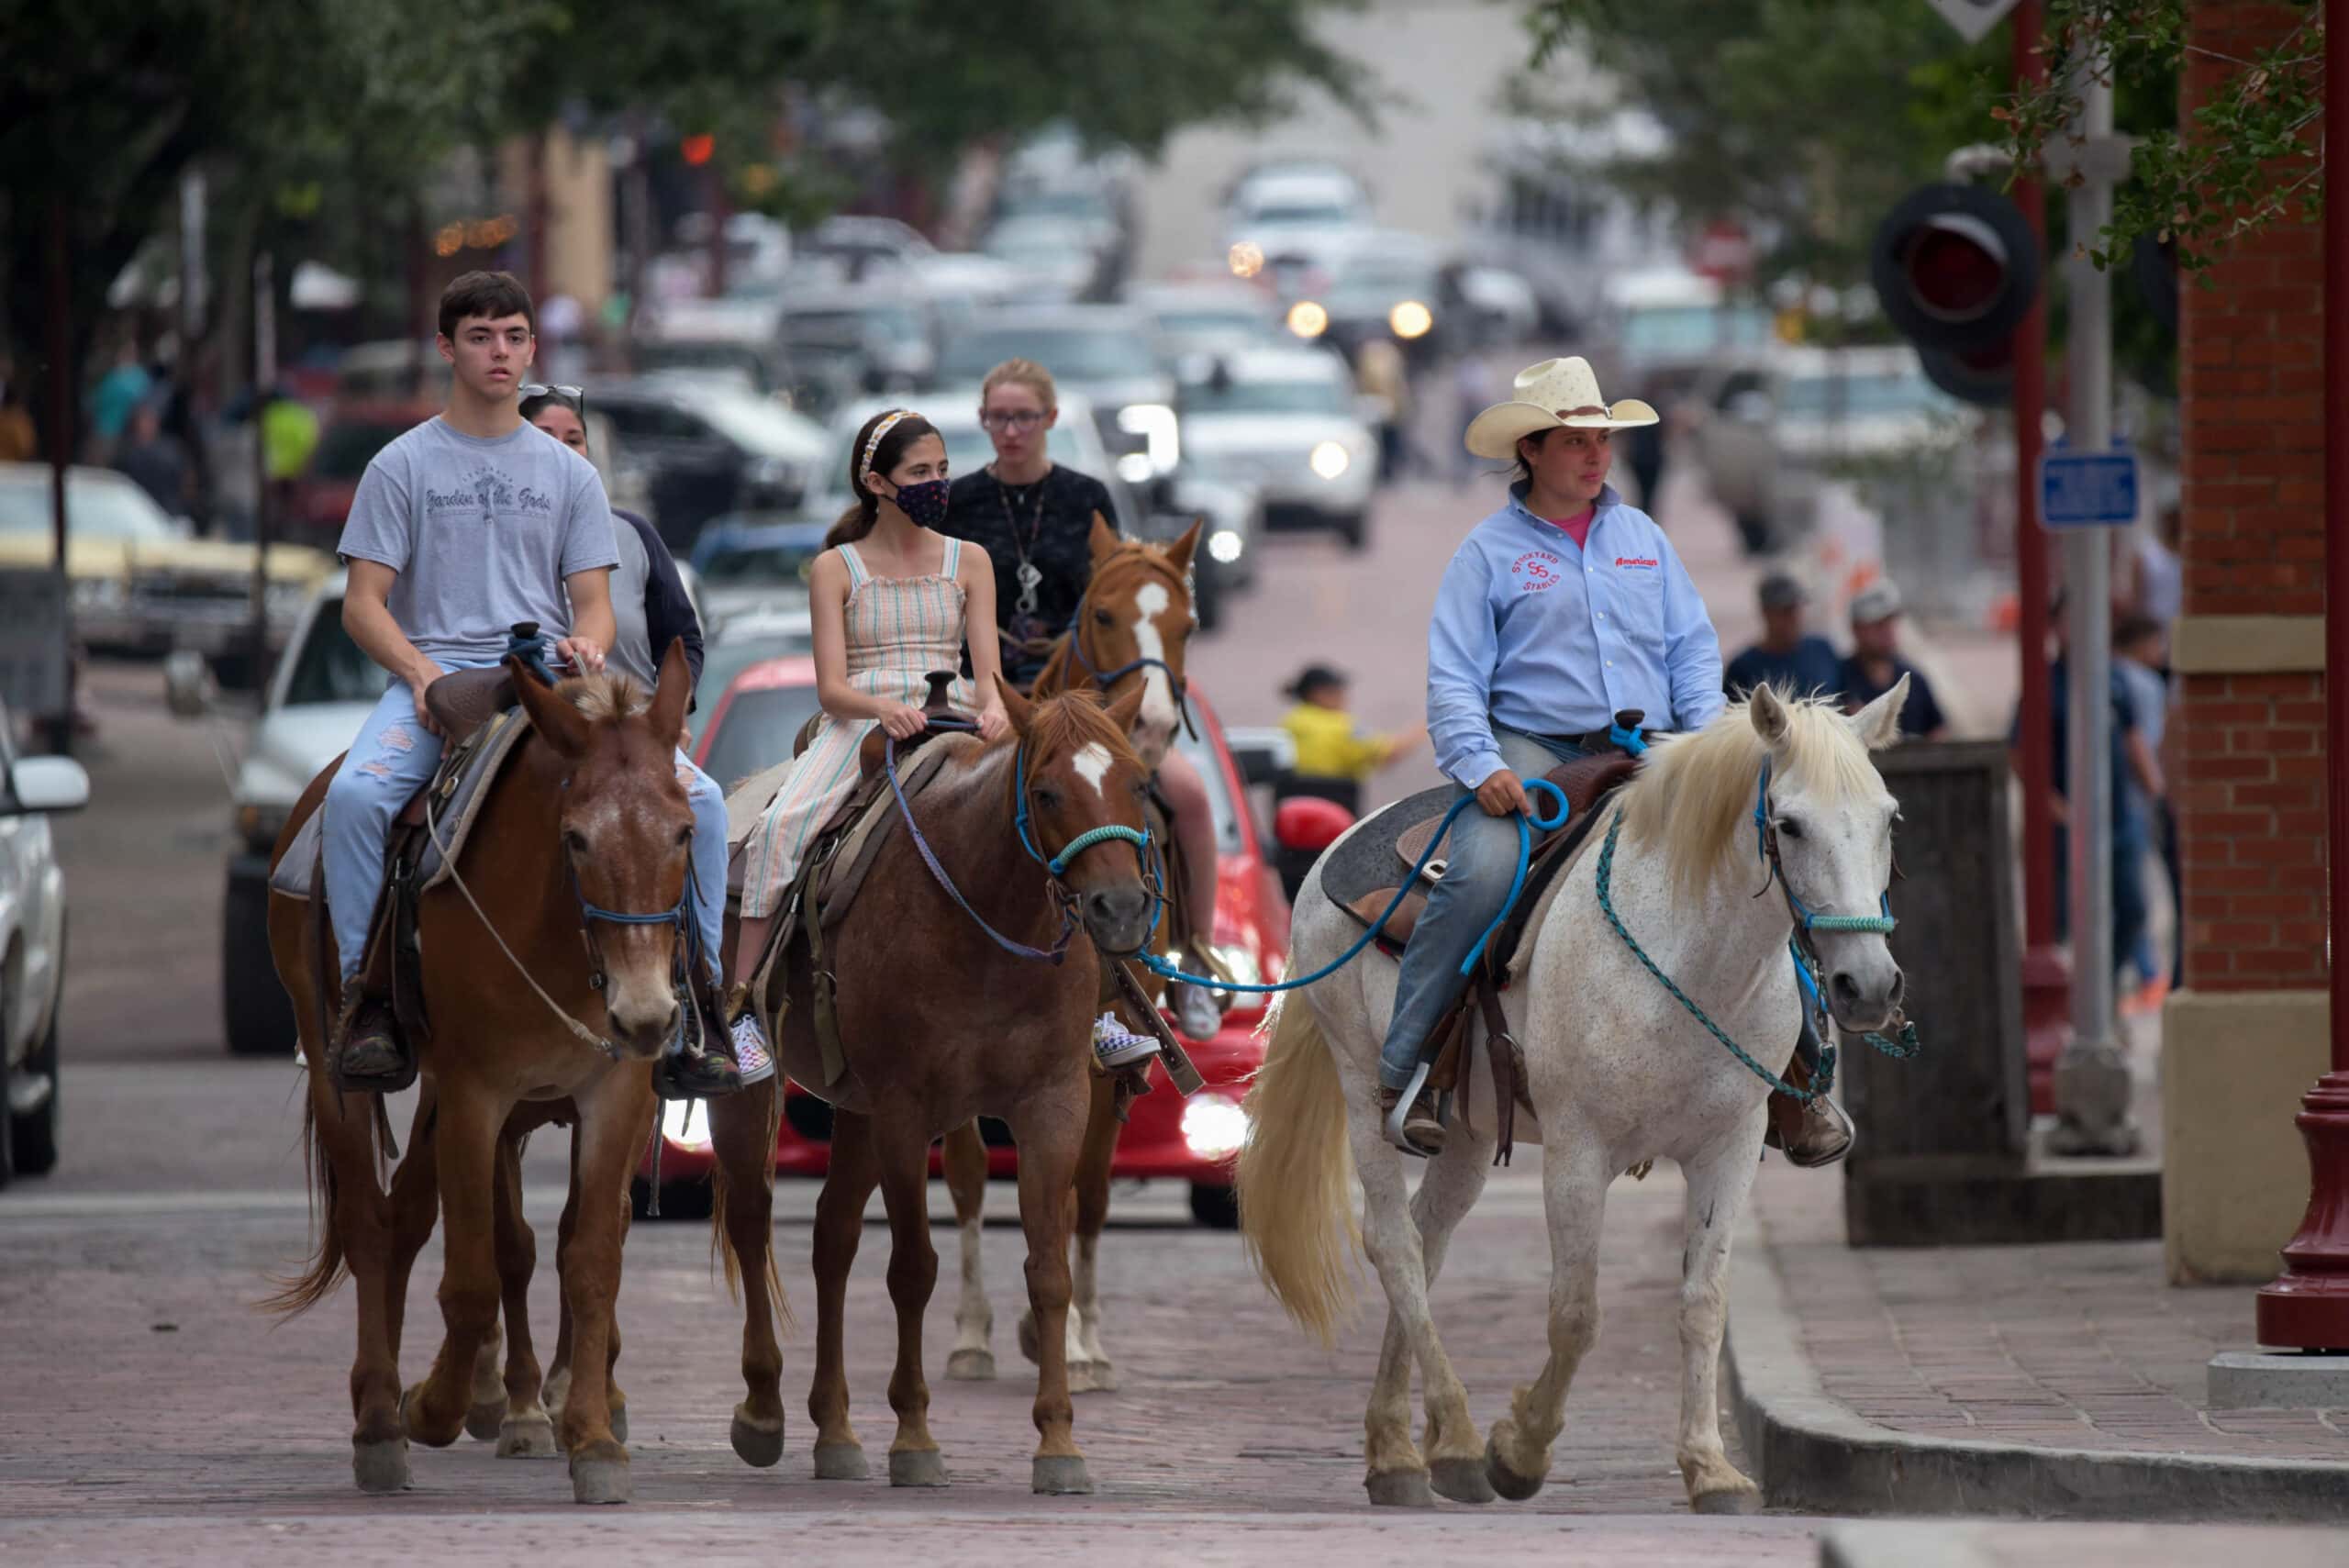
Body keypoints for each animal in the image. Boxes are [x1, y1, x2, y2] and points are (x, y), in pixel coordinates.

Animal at [264, 648, 695, 1502]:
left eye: (684, 832)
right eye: (576, 839)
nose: (646, 1015)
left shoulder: (613, 1097)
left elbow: (590, 1258)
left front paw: (592, 1436)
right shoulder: (477, 1096)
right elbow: (477, 1275)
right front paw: (442, 1405)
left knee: (403, 1220)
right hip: (337, 1069)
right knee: (371, 1226)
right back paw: (381, 1419)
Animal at [705, 675, 1164, 1493]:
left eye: (1139, 782)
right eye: (1046, 792)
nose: (1120, 908)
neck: (983, 920)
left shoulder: (1054, 1105)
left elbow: (1048, 1271)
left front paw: (1059, 1442)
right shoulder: (906, 1111)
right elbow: (913, 1268)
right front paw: (914, 1434)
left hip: (854, 1108)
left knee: (831, 1237)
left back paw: (835, 1427)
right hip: (760, 1099)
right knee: (755, 1221)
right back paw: (763, 1410)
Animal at [934, 520, 1202, 1389]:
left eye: (1186, 624)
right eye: (1106, 614)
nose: (1151, 724)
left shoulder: (1111, 1054)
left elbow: (1086, 1193)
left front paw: (1080, 1341)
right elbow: (989, 1183)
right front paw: (1007, 1330)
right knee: (969, 1179)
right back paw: (974, 1331)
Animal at [1240, 680, 1898, 1502]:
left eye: (1889, 818)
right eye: (1791, 824)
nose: (1869, 985)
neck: (1689, 958)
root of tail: (1338, 842)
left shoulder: (1730, 1145)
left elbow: (1702, 1301)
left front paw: (1709, 1465)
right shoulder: (1579, 1151)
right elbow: (1577, 1313)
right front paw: (1520, 1449)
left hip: (1466, 1130)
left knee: (1428, 1241)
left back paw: (1407, 1441)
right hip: (1365, 1093)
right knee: (1393, 1244)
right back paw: (1443, 1443)